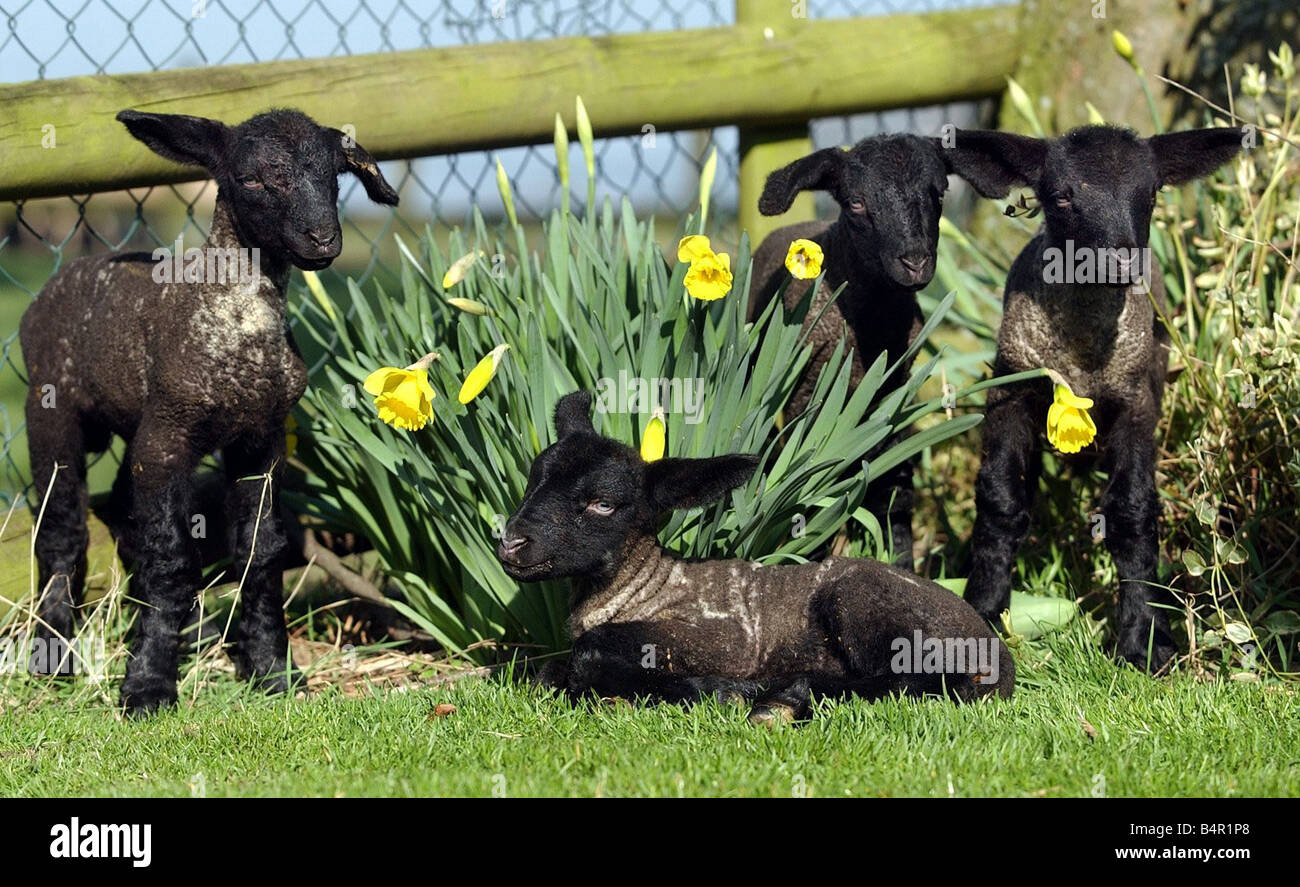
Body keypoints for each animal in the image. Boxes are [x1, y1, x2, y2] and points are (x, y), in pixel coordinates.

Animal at [20, 108, 399, 714]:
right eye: (251, 179)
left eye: (335, 177)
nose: (323, 239)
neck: (236, 324)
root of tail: (57, 283)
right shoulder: (169, 435)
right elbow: (172, 561)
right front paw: (148, 686)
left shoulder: (260, 441)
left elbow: (261, 553)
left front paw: (271, 669)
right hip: (50, 409)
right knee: (61, 531)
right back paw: (53, 654)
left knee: (123, 511)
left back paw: (188, 631)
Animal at [497, 391, 1014, 724]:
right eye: (532, 480)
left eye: (603, 503)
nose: (510, 544)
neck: (641, 589)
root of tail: (998, 656)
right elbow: (551, 670)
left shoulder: (725, 639)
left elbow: (587, 653)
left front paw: (713, 692)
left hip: (864, 604)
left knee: (908, 681)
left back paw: (776, 701)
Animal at [747, 134, 997, 567]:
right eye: (856, 203)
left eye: (939, 192)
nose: (915, 262)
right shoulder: (806, 397)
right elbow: (802, 483)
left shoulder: (895, 399)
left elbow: (896, 490)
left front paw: (902, 564)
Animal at [938, 124, 1245, 672]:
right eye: (1061, 196)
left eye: (1151, 195)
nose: (1121, 261)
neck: (1081, 357)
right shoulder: (1011, 390)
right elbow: (1000, 500)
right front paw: (983, 615)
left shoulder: (1137, 405)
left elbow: (1132, 512)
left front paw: (1144, 641)